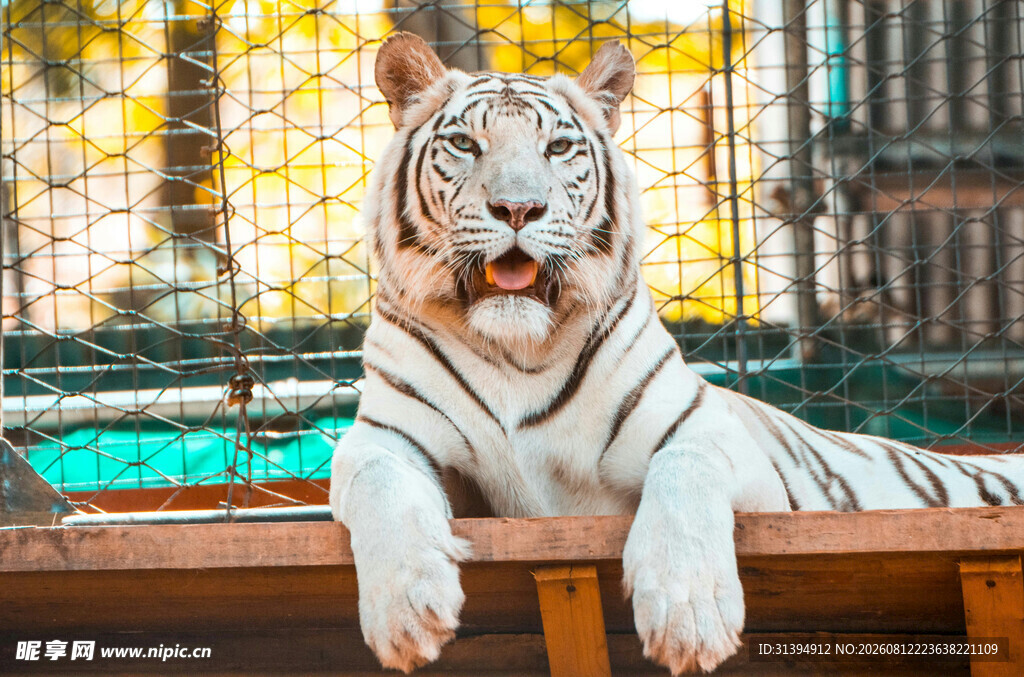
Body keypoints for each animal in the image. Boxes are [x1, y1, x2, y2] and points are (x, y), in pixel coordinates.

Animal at [329, 32, 1024, 675]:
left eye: (558, 148)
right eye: (466, 145)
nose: (519, 208)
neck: (515, 349)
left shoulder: (714, 438)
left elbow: (683, 468)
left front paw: (689, 615)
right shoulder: (386, 436)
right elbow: (378, 479)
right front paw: (406, 609)